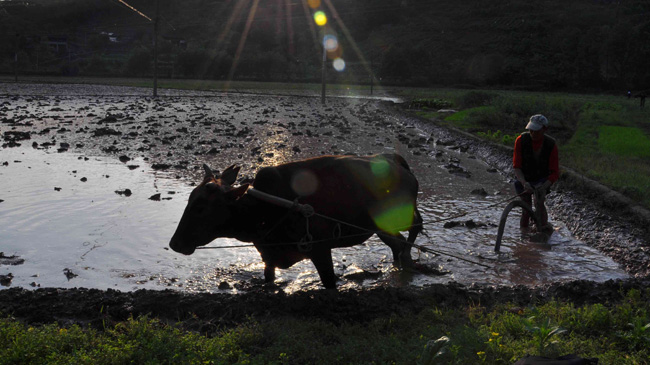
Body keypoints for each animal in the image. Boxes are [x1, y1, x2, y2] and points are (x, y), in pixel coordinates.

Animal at [167, 152, 420, 288]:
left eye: (200, 207)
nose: (175, 243)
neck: (265, 209)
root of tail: (395, 161)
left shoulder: (320, 250)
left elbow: (329, 282)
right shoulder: (269, 256)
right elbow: (269, 279)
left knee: (414, 230)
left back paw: (408, 259)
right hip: (382, 228)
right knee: (398, 244)